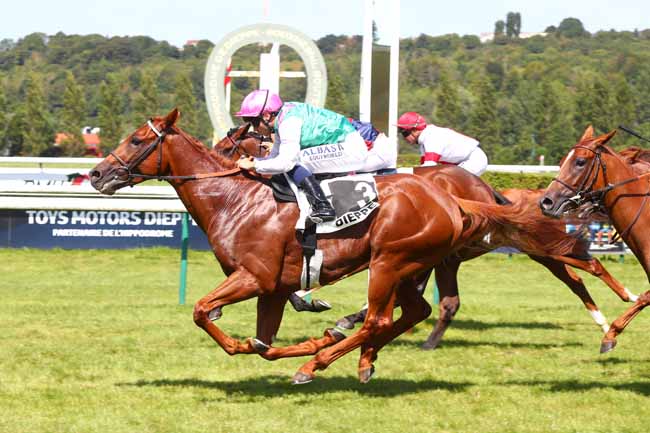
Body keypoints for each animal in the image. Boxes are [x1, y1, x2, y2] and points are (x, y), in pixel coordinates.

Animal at [90, 109, 552, 384]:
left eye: (136, 140)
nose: (95, 174)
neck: (235, 199)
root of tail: (452, 199)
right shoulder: (273, 288)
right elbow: (262, 342)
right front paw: (298, 337)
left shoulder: (254, 278)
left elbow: (203, 311)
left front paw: (308, 342)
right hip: (408, 267)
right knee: (413, 312)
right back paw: (356, 357)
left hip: (389, 262)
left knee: (379, 320)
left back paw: (321, 360)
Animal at [225, 127, 636, 348]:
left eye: (233, 143)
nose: (223, 155)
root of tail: (486, 190)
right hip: (466, 251)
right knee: (568, 271)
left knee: (579, 267)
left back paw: (618, 309)